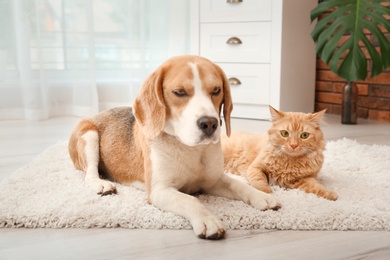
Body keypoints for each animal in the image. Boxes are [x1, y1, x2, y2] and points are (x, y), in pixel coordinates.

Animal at [68, 55, 280, 240]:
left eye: (216, 90)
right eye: (180, 92)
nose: (210, 123)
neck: (191, 148)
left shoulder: (214, 180)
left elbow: (239, 185)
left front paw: (262, 196)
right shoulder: (160, 191)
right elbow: (191, 200)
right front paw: (208, 220)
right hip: (89, 135)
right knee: (89, 174)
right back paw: (102, 185)